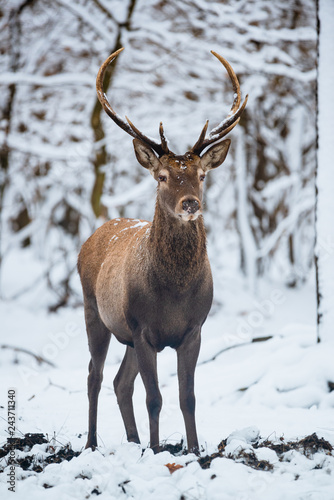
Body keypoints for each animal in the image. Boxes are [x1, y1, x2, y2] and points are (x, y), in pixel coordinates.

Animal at [77, 48, 247, 456]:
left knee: (120, 382)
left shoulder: (194, 329)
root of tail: (95, 234)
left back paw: (133, 441)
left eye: (202, 175)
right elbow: (154, 398)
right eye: (163, 176)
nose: (190, 203)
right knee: (94, 375)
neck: (174, 293)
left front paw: (195, 450)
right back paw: (91, 443)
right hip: (94, 310)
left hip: (123, 331)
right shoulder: (142, 328)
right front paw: (157, 452)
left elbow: (188, 397)